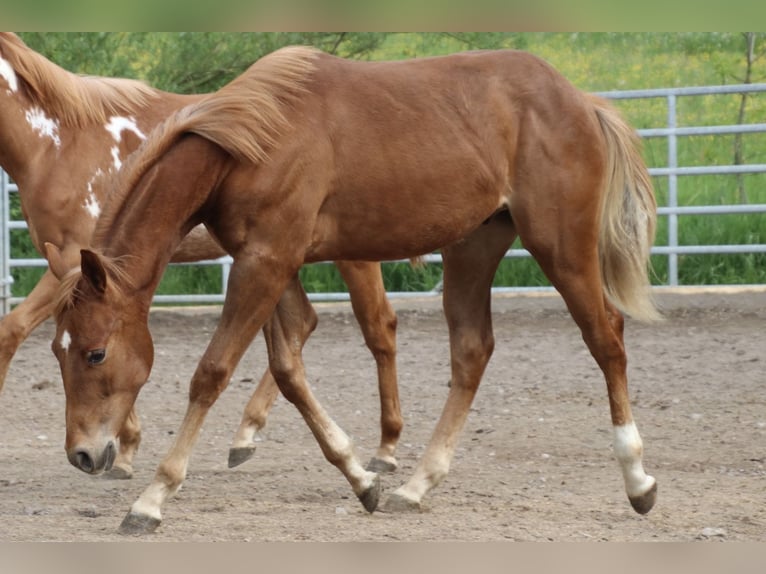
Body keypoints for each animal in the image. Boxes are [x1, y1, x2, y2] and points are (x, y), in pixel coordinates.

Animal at [0, 35, 404, 476]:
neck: (58, 144)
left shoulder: (76, 259)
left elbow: (12, 331)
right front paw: (125, 446)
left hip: (352, 256)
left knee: (379, 328)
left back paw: (386, 447)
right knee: (304, 328)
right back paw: (247, 434)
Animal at [46, 45, 660, 536]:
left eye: (95, 353)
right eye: (58, 348)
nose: (81, 455)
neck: (252, 141)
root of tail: (579, 100)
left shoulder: (265, 264)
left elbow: (212, 372)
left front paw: (152, 499)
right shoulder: (269, 263)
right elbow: (289, 370)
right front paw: (362, 478)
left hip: (562, 248)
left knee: (607, 339)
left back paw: (638, 481)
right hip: (473, 248)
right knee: (472, 351)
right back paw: (417, 485)